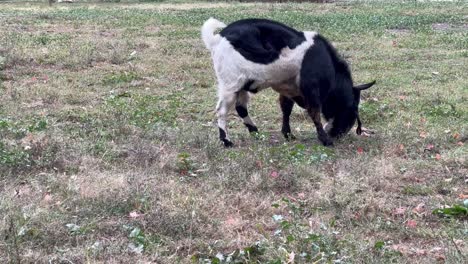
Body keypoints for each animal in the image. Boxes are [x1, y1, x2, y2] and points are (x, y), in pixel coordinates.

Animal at [199, 17, 374, 147]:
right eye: (352, 109)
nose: (339, 135)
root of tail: (217, 38)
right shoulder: (311, 89)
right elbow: (314, 113)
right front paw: (325, 139)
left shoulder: (288, 88)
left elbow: (286, 109)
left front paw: (288, 134)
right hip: (230, 85)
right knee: (222, 110)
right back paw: (226, 140)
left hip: (241, 86)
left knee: (241, 108)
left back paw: (255, 131)